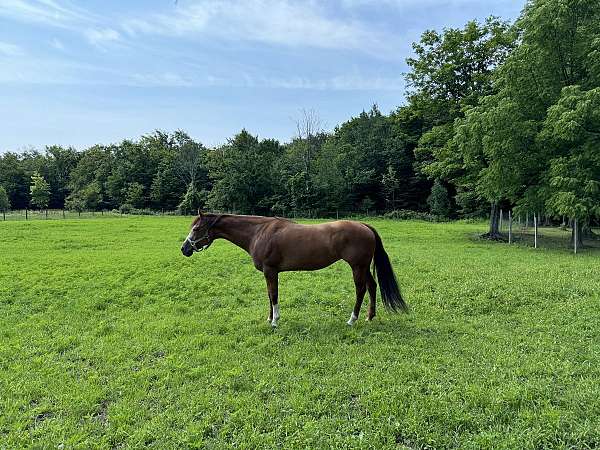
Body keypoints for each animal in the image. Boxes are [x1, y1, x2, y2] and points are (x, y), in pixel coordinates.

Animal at [182, 214, 408, 326]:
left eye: (196, 228)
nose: (184, 249)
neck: (259, 232)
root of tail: (364, 226)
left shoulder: (271, 271)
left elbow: (273, 295)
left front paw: (275, 321)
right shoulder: (269, 273)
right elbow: (269, 295)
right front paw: (269, 318)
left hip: (357, 267)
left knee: (361, 290)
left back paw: (352, 320)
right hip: (363, 267)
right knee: (372, 286)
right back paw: (370, 317)